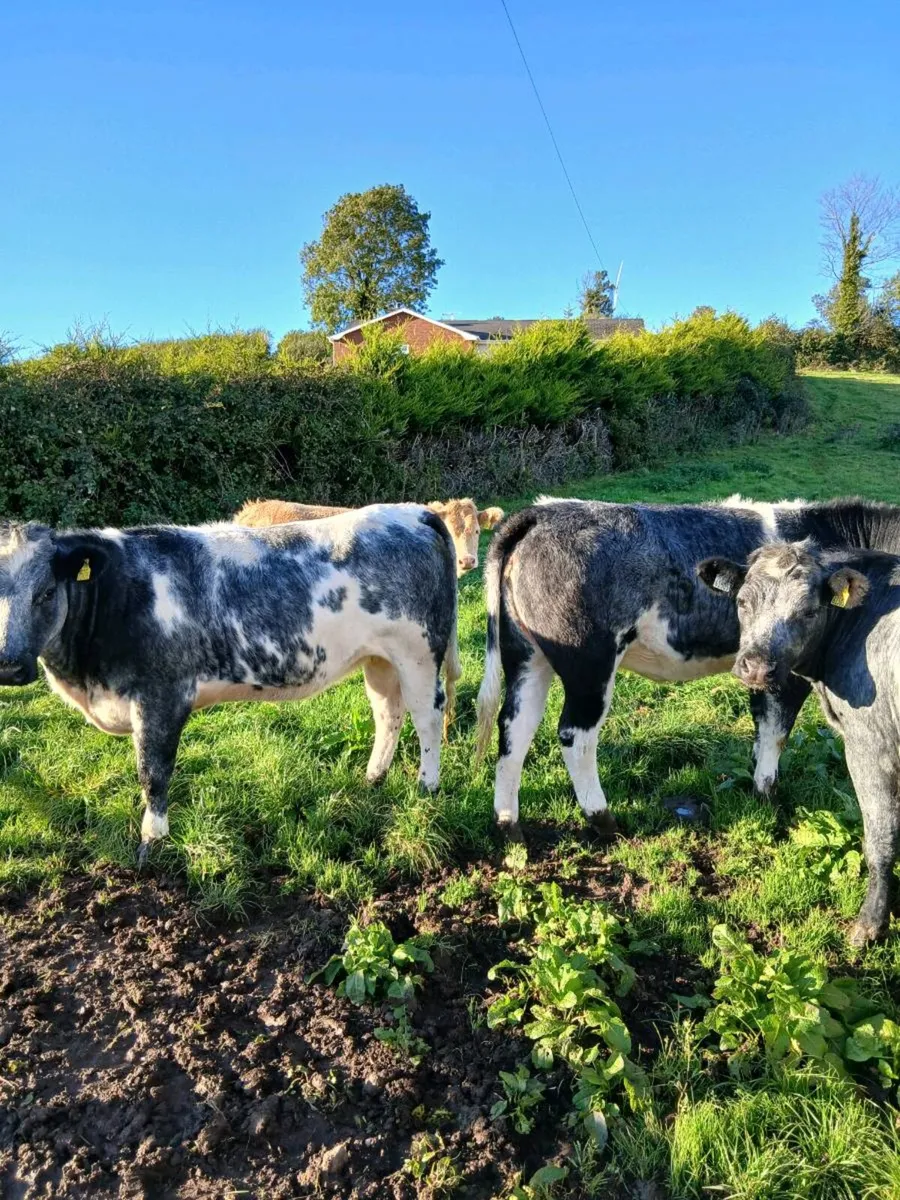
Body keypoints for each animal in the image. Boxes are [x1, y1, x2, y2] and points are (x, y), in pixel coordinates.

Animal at [0, 506, 458, 861]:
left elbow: (153, 773)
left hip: (418, 652)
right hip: (379, 659)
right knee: (388, 713)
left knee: (427, 716)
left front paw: (152, 842)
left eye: (46, 592)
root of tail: (414, 512)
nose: (8, 667)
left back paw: (427, 787)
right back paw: (373, 778)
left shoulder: (161, 696)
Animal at [475, 496, 900, 841]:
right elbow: (776, 733)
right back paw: (605, 821)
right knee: (574, 735)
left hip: (526, 655)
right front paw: (768, 799)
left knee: (515, 726)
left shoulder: (760, 666)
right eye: (741, 601)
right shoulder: (785, 672)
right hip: (589, 663)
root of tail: (542, 512)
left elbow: (762, 727)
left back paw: (509, 826)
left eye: (810, 610)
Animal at [697, 539, 900, 944]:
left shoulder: (871, 744)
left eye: (808, 610)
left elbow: (881, 836)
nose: (757, 666)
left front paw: (870, 924)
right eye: (742, 601)